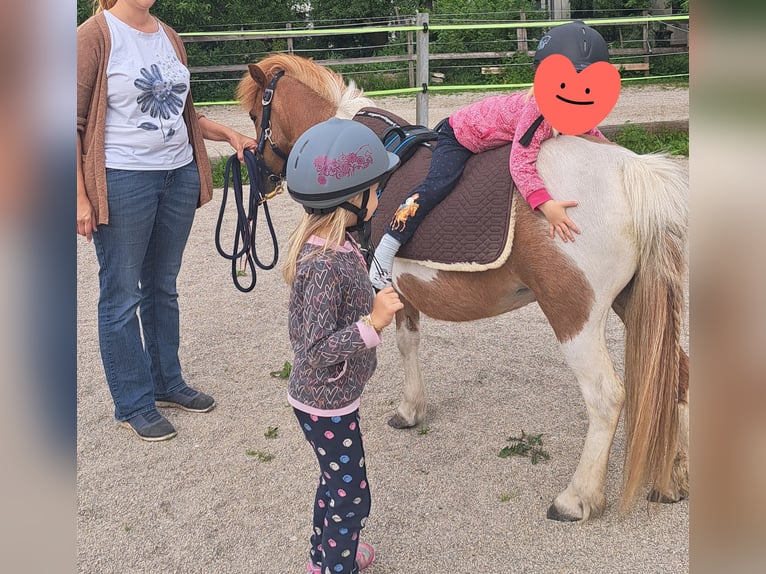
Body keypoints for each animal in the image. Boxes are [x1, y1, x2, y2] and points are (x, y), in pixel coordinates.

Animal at [236, 54, 689, 522]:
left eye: (253, 115)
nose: (263, 178)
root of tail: (631, 170)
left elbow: (402, 344)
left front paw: (408, 409)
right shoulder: (400, 291)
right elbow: (409, 342)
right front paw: (412, 409)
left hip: (574, 316)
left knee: (606, 397)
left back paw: (576, 497)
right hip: (632, 305)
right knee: (677, 377)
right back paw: (671, 480)